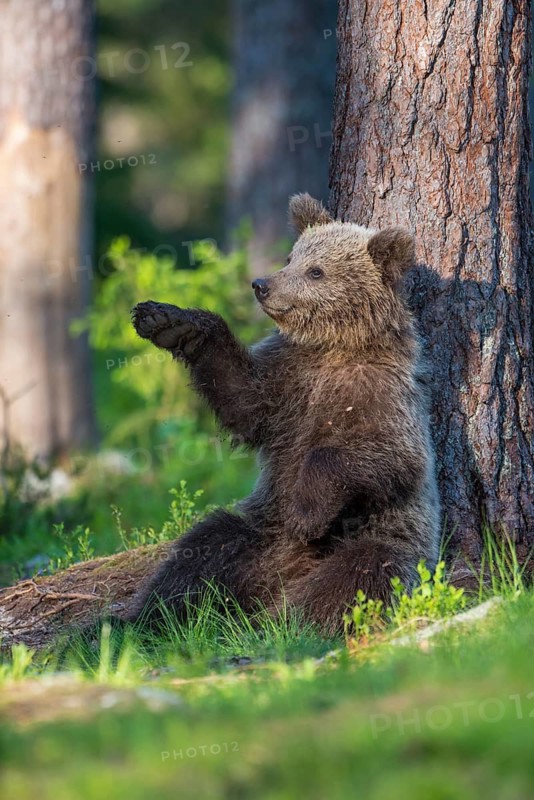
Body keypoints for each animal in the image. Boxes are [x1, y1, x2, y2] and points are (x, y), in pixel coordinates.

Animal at [127, 193, 440, 634]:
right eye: (292, 256)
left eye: (316, 270)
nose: (262, 285)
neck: (336, 347)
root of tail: (278, 581)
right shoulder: (288, 377)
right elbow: (243, 398)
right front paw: (171, 321)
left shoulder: (384, 392)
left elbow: (384, 455)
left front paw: (307, 513)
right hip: (257, 534)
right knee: (202, 550)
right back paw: (139, 621)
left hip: (381, 539)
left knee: (358, 573)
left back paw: (290, 624)